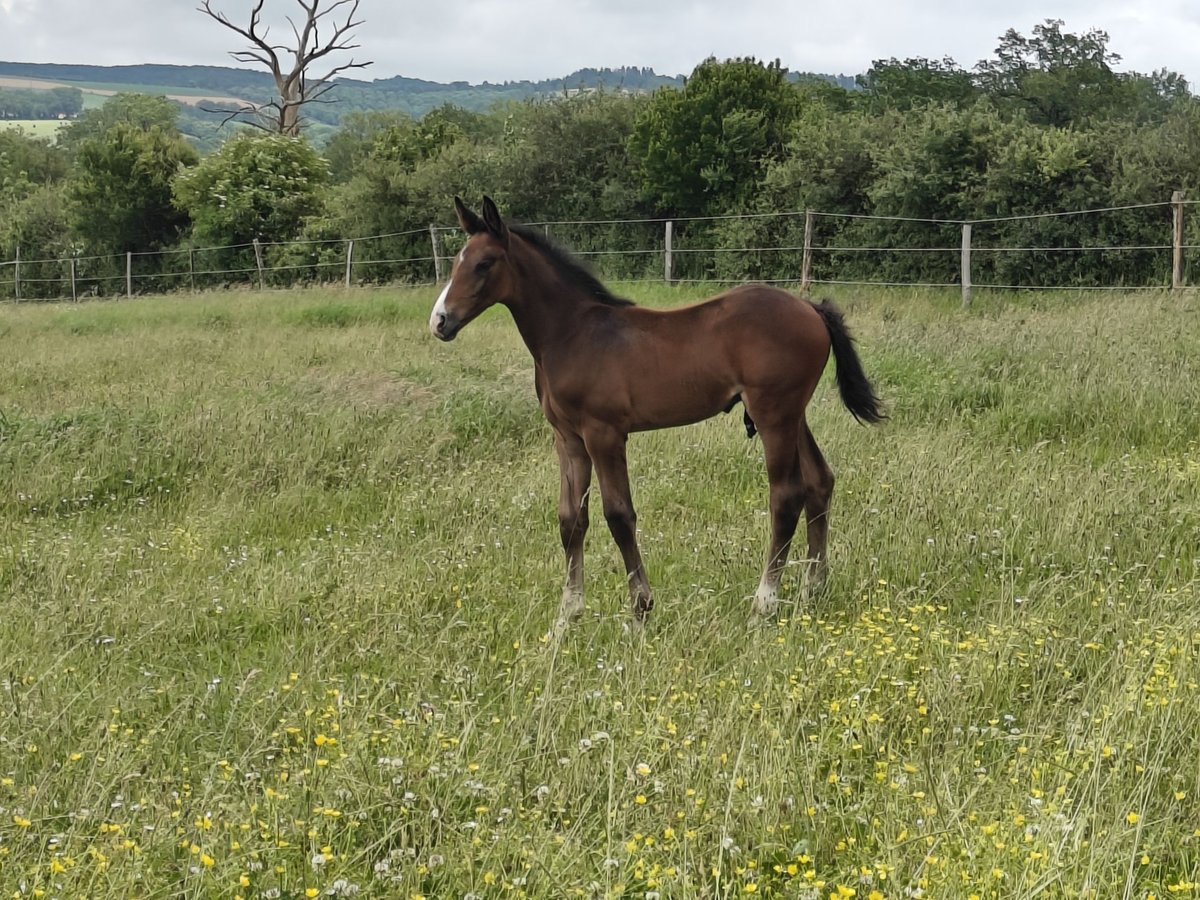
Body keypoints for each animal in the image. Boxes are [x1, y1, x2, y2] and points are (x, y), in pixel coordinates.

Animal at [432, 198, 883, 633]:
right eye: (455, 261)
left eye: (485, 263)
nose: (440, 321)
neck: (573, 334)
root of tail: (810, 308)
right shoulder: (568, 438)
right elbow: (570, 519)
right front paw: (566, 617)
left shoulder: (604, 434)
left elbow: (618, 516)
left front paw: (640, 612)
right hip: (792, 414)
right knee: (819, 482)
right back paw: (812, 591)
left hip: (774, 415)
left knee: (786, 496)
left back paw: (763, 606)